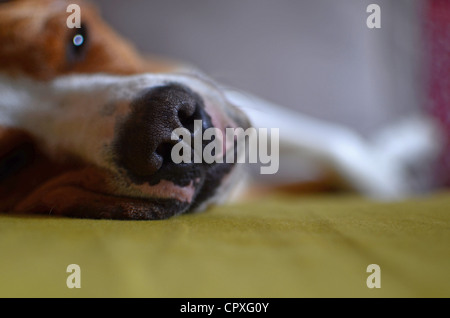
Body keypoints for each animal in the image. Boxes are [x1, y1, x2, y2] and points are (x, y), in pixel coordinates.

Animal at [0, 0, 442, 219]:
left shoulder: (192, 75)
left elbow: (338, 144)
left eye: (78, 38)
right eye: (9, 162)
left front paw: (391, 183)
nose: (167, 127)